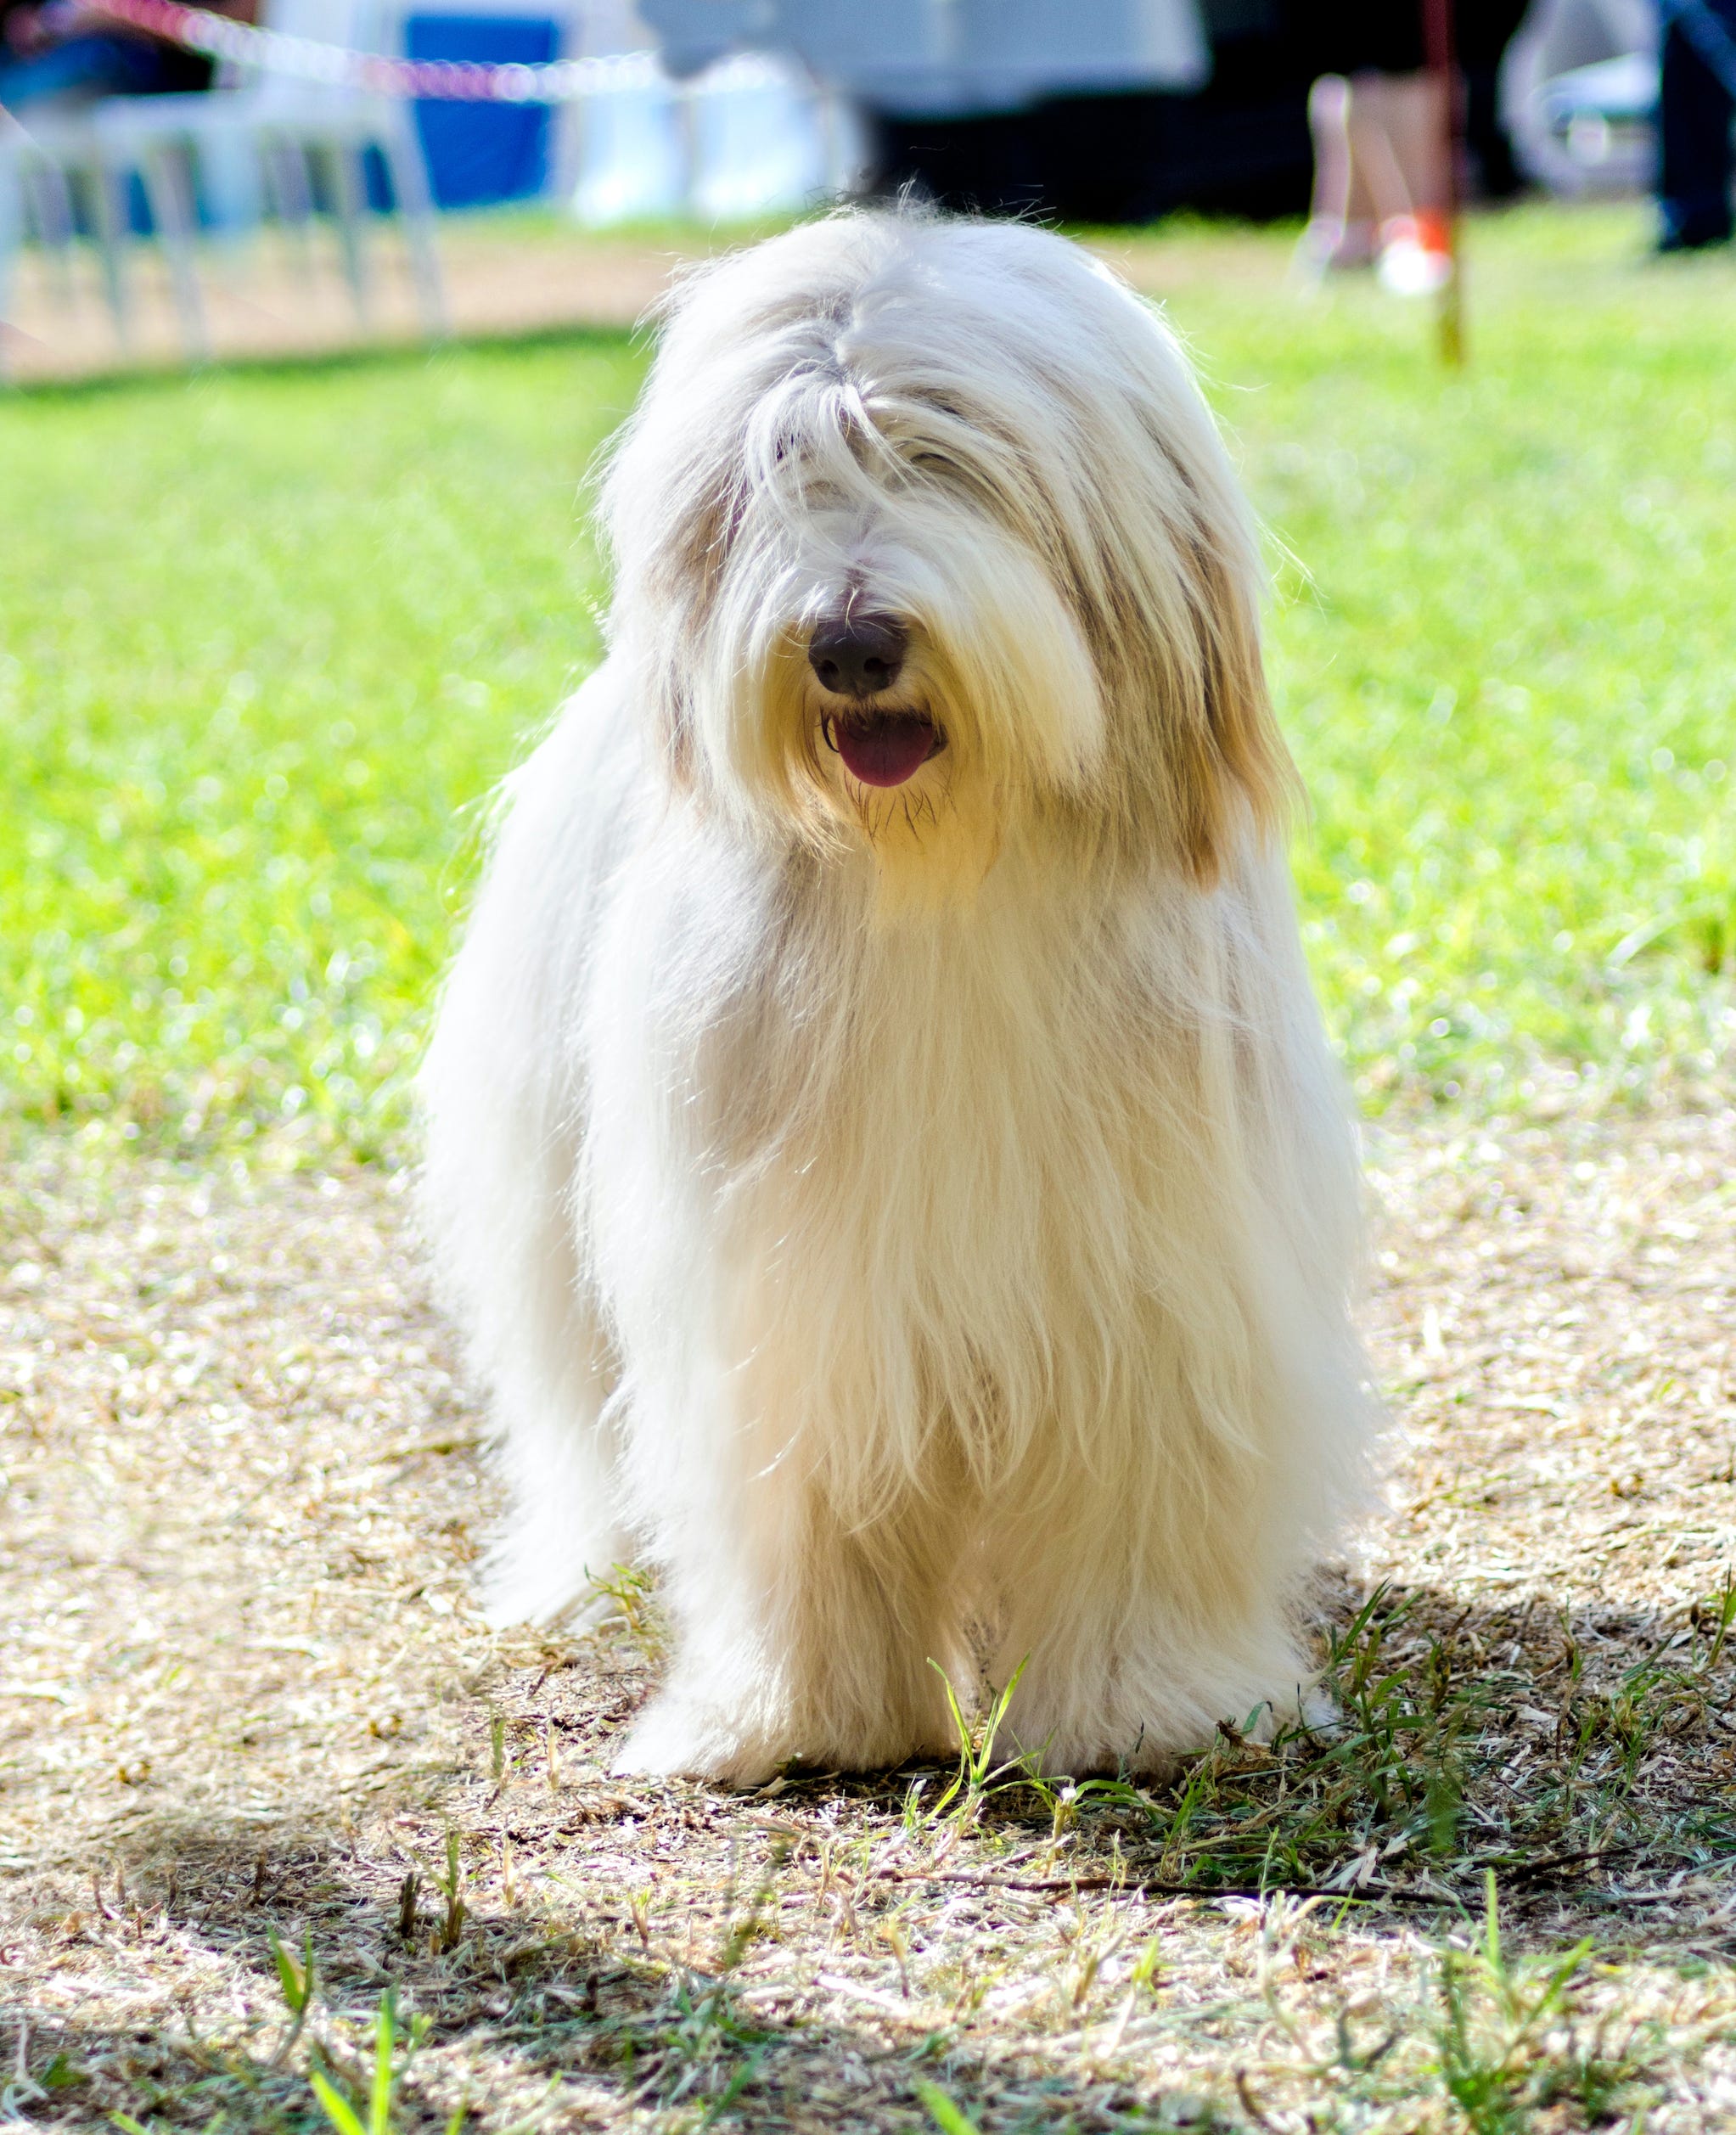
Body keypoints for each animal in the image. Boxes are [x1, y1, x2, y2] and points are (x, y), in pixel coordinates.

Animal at [416, 212, 1366, 1784]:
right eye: (773, 476)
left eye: (949, 455)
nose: (850, 643)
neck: (940, 873)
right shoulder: (788, 1299)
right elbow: (797, 1505)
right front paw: (798, 1717)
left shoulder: (1149, 1274)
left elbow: (1133, 1487)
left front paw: (1146, 1709)